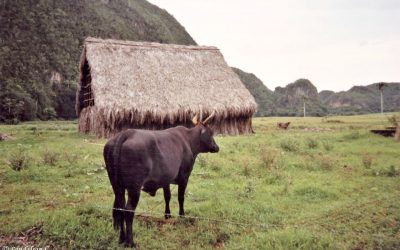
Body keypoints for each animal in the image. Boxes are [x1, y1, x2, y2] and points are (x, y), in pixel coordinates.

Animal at [103, 118, 219, 247]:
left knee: (119, 207)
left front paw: (167, 215)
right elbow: (181, 197)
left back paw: (121, 238)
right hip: (134, 187)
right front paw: (182, 216)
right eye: (211, 133)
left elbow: (167, 196)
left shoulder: (165, 179)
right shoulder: (184, 176)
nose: (216, 147)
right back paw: (130, 242)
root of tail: (126, 133)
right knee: (128, 211)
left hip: (117, 186)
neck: (188, 140)